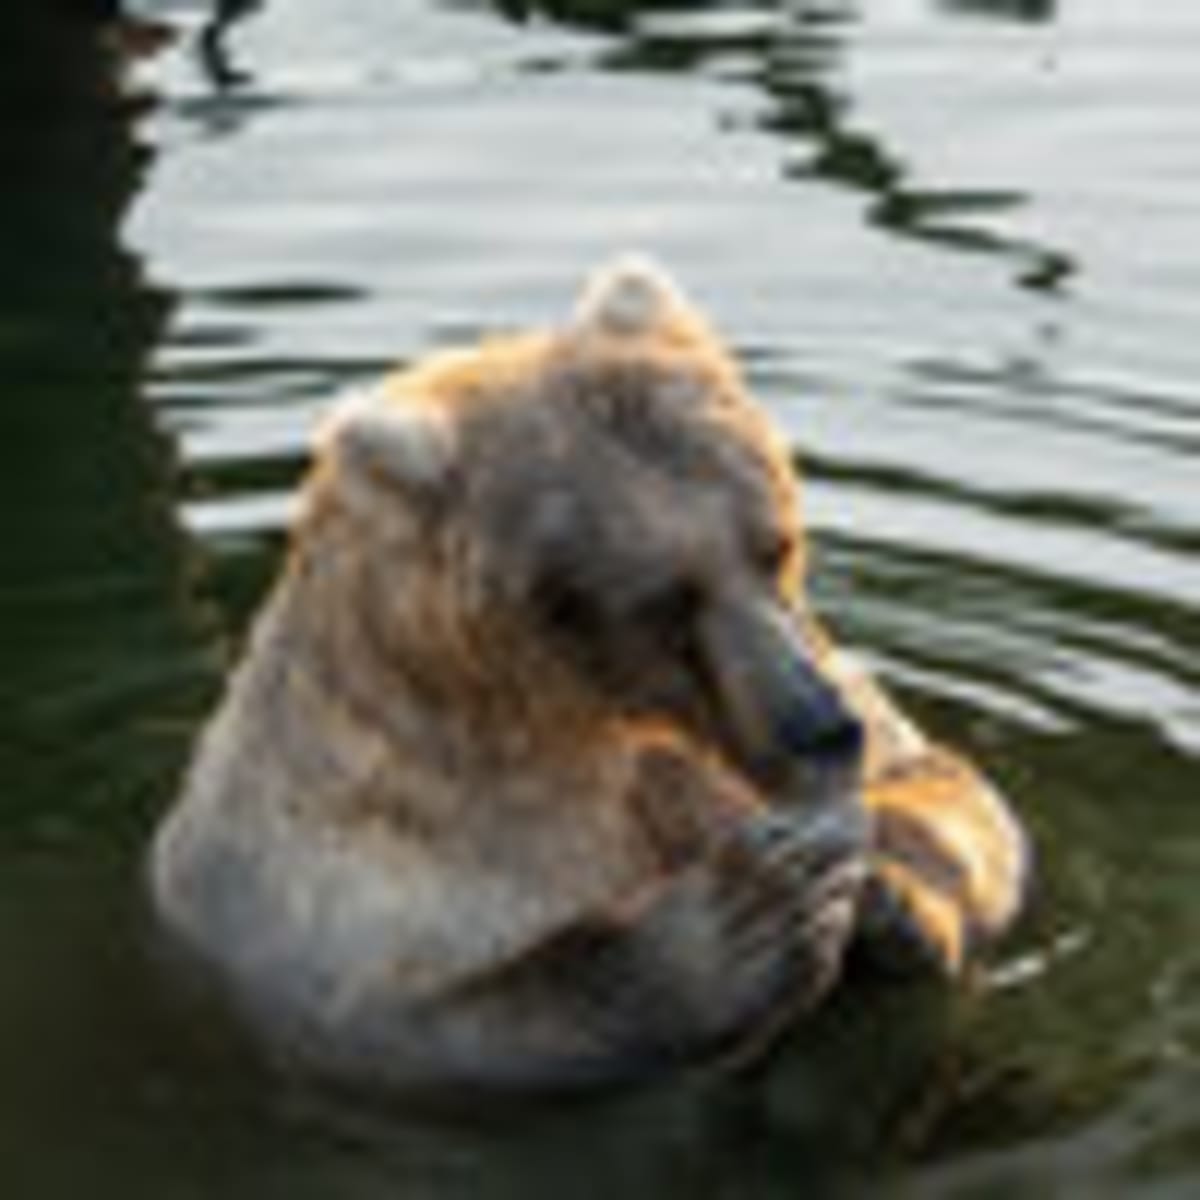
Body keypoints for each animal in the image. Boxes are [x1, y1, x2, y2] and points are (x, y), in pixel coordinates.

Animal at [149, 257, 1028, 1097]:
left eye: (774, 545)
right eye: (665, 599)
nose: (818, 725)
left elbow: (954, 788)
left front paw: (883, 890)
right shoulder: (345, 885)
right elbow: (435, 1029)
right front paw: (752, 910)